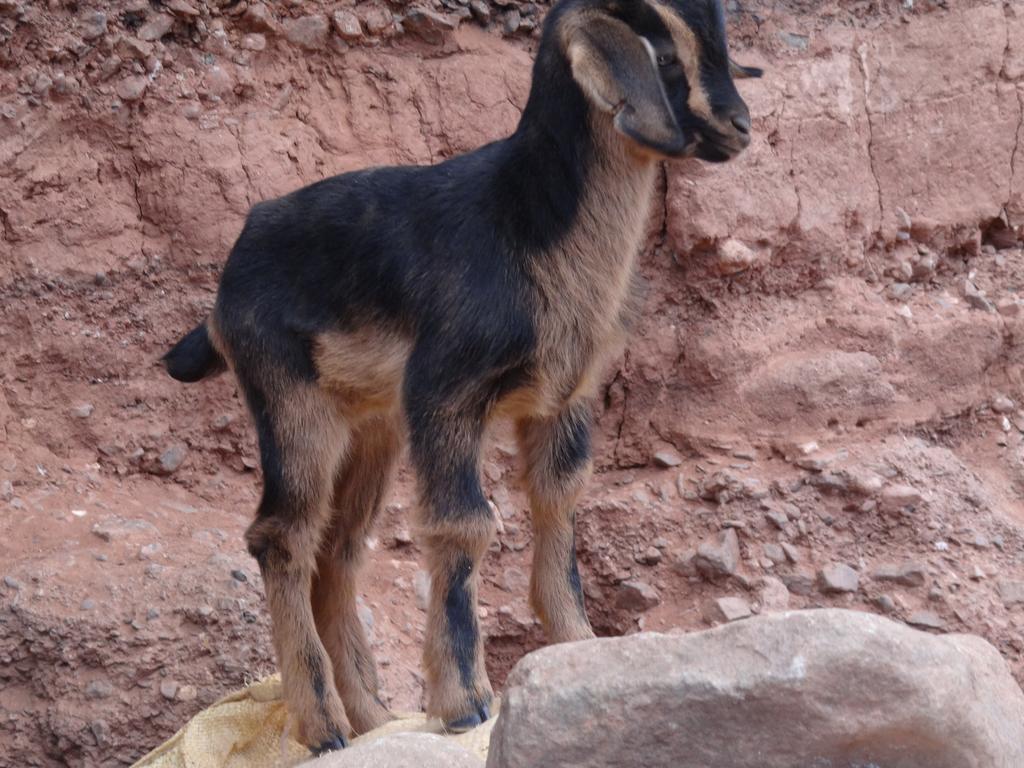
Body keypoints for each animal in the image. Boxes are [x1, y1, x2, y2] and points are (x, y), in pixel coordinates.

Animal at [163, 0, 761, 757]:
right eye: (666, 58)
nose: (741, 126)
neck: (526, 226)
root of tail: (227, 282)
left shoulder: (564, 400)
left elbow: (560, 500)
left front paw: (579, 644)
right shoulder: (446, 392)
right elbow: (463, 522)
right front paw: (465, 702)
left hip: (373, 426)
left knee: (340, 548)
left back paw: (374, 718)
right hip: (290, 399)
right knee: (283, 537)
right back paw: (324, 726)